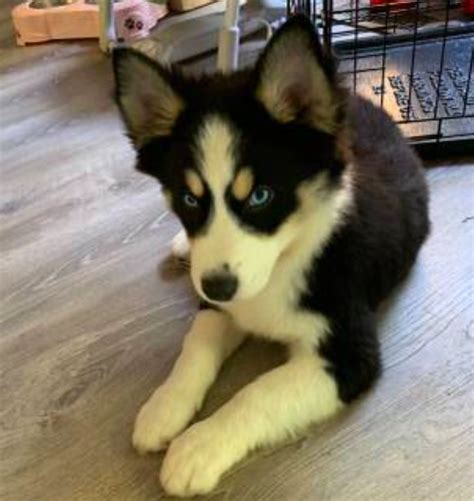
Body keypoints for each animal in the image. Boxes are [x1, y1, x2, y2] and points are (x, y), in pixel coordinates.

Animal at [112, 15, 430, 496]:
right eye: (189, 199)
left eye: (260, 196)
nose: (217, 285)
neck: (285, 259)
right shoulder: (219, 304)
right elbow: (194, 346)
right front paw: (163, 406)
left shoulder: (348, 353)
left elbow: (255, 394)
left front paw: (197, 448)